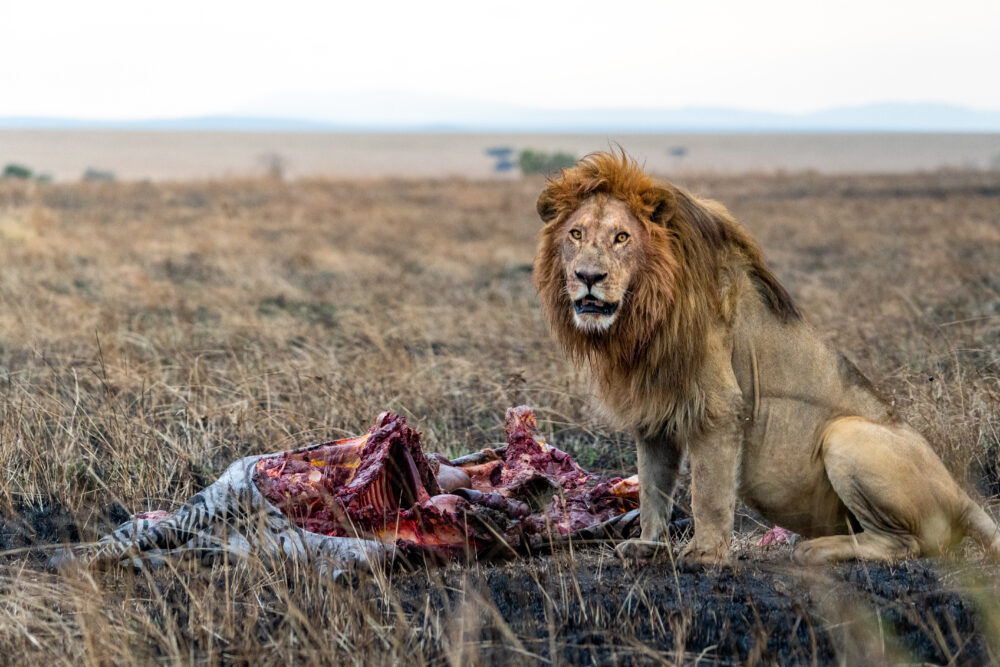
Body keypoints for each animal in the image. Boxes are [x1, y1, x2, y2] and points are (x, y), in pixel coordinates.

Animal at [532, 151, 1000, 564]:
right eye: (576, 234)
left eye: (622, 237)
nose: (588, 277)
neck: (641, 318)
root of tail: (962, 494)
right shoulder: (653, 413)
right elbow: (653, 489)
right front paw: (647, 546)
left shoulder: (719, 407)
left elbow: (708, 491)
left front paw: (705, 554)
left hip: (846, 434)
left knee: (908, 543)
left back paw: (815, 549)